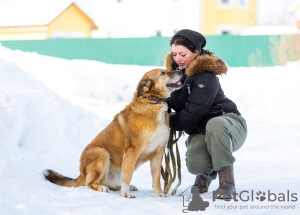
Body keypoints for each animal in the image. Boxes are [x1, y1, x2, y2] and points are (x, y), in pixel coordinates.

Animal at [43, 69, 182, 198]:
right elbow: (127, 175)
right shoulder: (132, 152)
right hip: (102, 153)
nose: (180, 71)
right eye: (163, 73)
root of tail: (81, 173)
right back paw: (102, 188)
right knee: (90, 183)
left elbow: (156, 178)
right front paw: (125, 194)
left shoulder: (158, 154)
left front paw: (158, 194)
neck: (153, 103)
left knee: (111, 184)